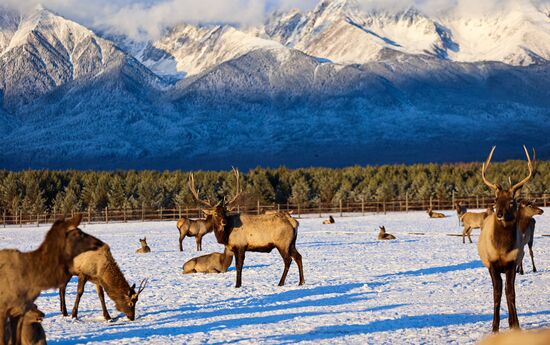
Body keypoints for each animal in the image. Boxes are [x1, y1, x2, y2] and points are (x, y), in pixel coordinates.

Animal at [478, 144, 536, 330]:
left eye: (512, 201)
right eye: (495, 200)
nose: (499, 214)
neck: (502, 248)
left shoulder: (512, 263)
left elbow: (511, 293)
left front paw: (514, 325)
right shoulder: (492, 264)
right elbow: (497, 293)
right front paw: (494, 327)